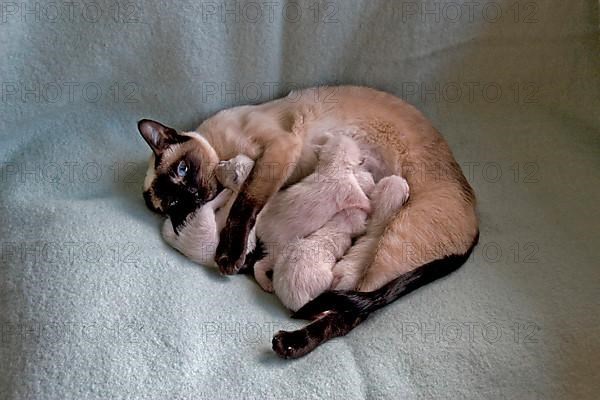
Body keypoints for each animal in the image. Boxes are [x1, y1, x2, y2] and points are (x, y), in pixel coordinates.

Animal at [138, 85, 480, 360]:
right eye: (174, 203)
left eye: (183, 169)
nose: (195, 195)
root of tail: (476, 223)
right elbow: (244, 208)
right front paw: (239, 256)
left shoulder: (275, 154)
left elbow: (244, 205)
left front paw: (229, 257)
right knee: (351, 309)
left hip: (391, 245)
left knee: (352, 313)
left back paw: (289, 342)